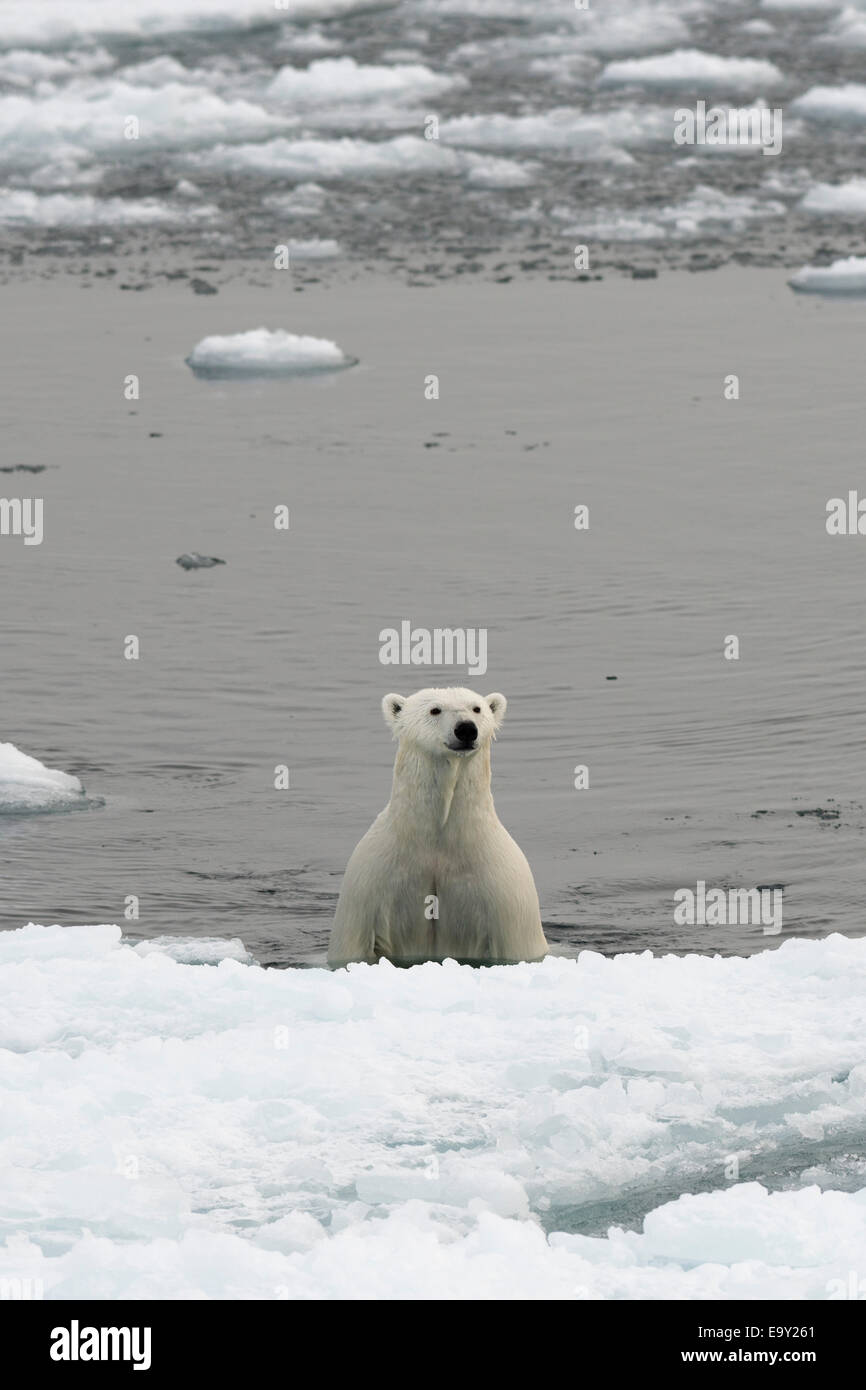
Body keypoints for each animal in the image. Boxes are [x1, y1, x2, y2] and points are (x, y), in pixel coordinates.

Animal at [326, 686, 547, 967]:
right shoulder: (368, 887)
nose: (466, 729)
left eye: (477, 708)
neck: (437, 840)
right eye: (435, 709)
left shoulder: (506, 896)